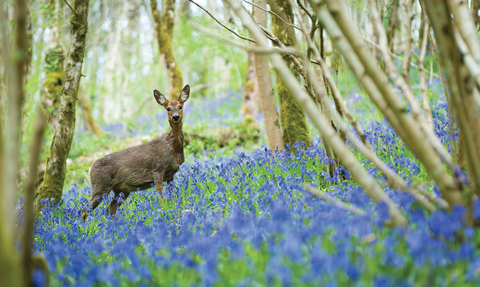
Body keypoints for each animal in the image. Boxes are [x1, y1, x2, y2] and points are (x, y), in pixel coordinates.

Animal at [80, 84, 189, 222]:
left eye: (180, 106)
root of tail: (90, 168)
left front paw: (173, 211)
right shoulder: (157, 170)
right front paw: (165, 213)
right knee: (85, 209)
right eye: (168, 109)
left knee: (110, 209)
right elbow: (161, 200)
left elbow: (172, 198)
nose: (175, 117)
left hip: (121, 189)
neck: (173, 149)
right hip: (100, 186)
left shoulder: (171, 175)